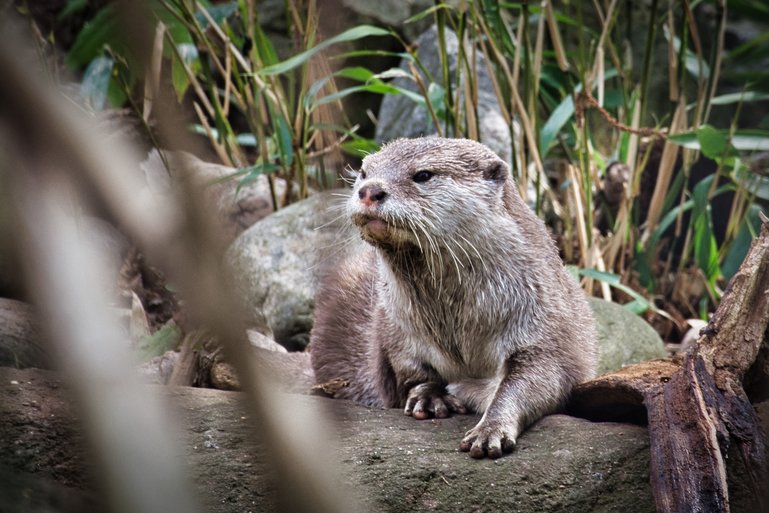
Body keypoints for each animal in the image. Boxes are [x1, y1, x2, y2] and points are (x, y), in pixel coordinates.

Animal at [308, 135, 596, 456]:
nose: (369, 191)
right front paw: (430, 396)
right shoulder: (396, 327)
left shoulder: (544, 323)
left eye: (423, 175)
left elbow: (533, 380)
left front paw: (490, 429)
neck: (456, 327)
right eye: (363, 172)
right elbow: (409, 370)